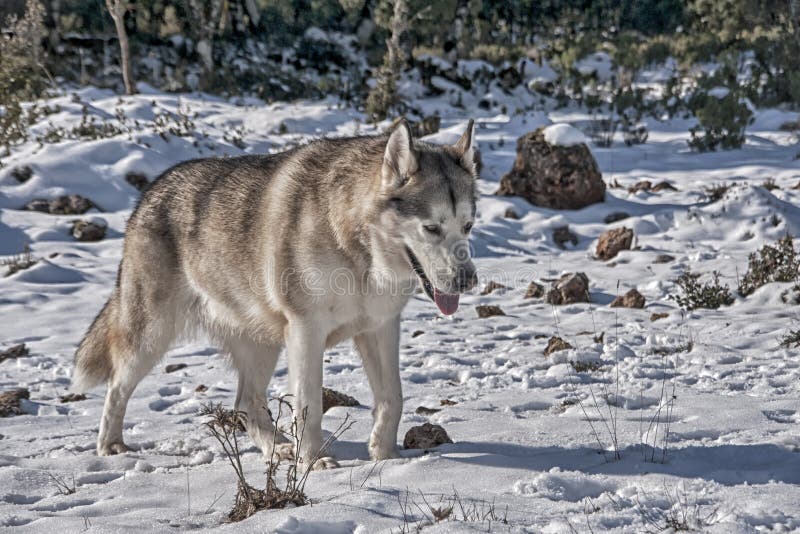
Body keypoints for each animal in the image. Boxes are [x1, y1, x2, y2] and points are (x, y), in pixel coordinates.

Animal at [72, 119, 478, 472]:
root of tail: (149, 192)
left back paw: (279, 448)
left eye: (468, 226)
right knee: (117, 387)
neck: (357, 248)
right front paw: (314, 461)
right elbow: (309, 404)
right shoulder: (306, 331)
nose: (468, 281)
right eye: (431, 228)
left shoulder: (380, 327)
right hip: (152, 337)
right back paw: (110, 445)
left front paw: (385, 455)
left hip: (261, 345)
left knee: (246, 405)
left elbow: (392, 397)